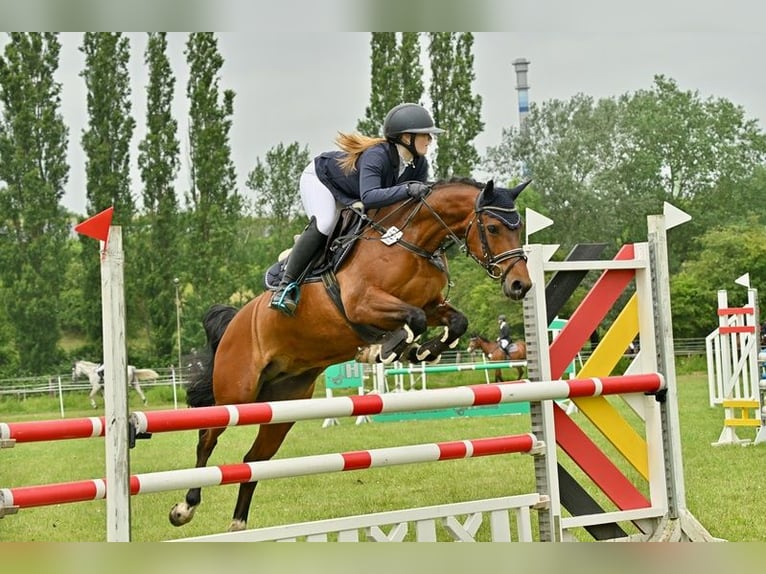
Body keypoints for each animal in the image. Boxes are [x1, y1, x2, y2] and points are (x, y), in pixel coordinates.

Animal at [172, 178, 536, 532]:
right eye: (493, 228)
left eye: (519, 227)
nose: (520, 286)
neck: (410, 243)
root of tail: (235, 322)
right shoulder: (363, 303)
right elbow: (414, 318)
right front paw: (386, 348)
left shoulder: (432, 305)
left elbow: (453, 320)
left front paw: (423, 351)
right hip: (237, 393)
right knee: (207, 438)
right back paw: (184, 508)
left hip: (283, 404)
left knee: (254, 461)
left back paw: (238, 523)